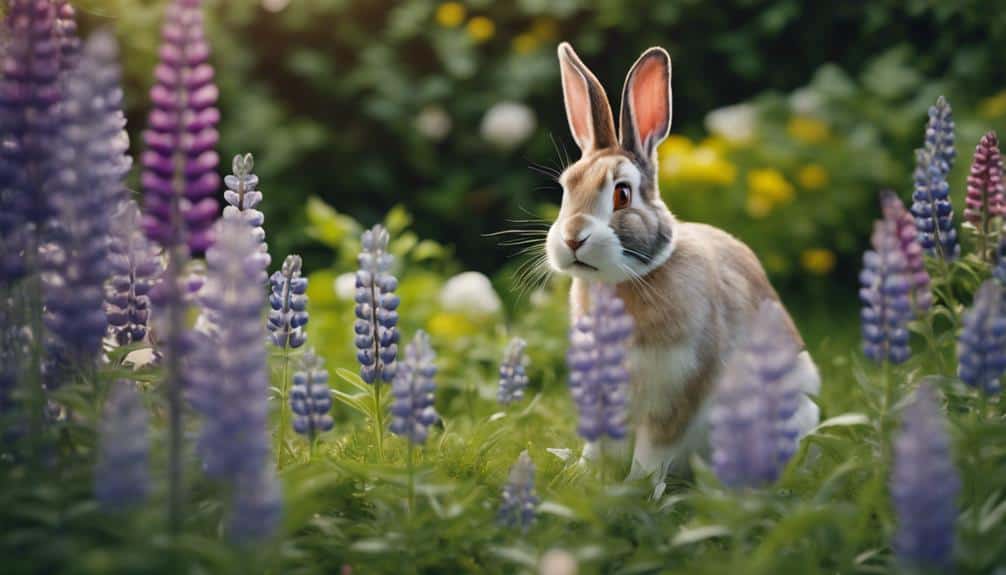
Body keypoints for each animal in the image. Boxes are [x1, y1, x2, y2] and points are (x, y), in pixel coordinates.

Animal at [546, 42, 821, 480]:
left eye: (622, 194)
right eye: (565, 188)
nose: (573, 237)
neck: (627, 279)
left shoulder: (677, 392)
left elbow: (654, 450)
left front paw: (636, 486)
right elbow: (601, 445)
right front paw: (586, 476)